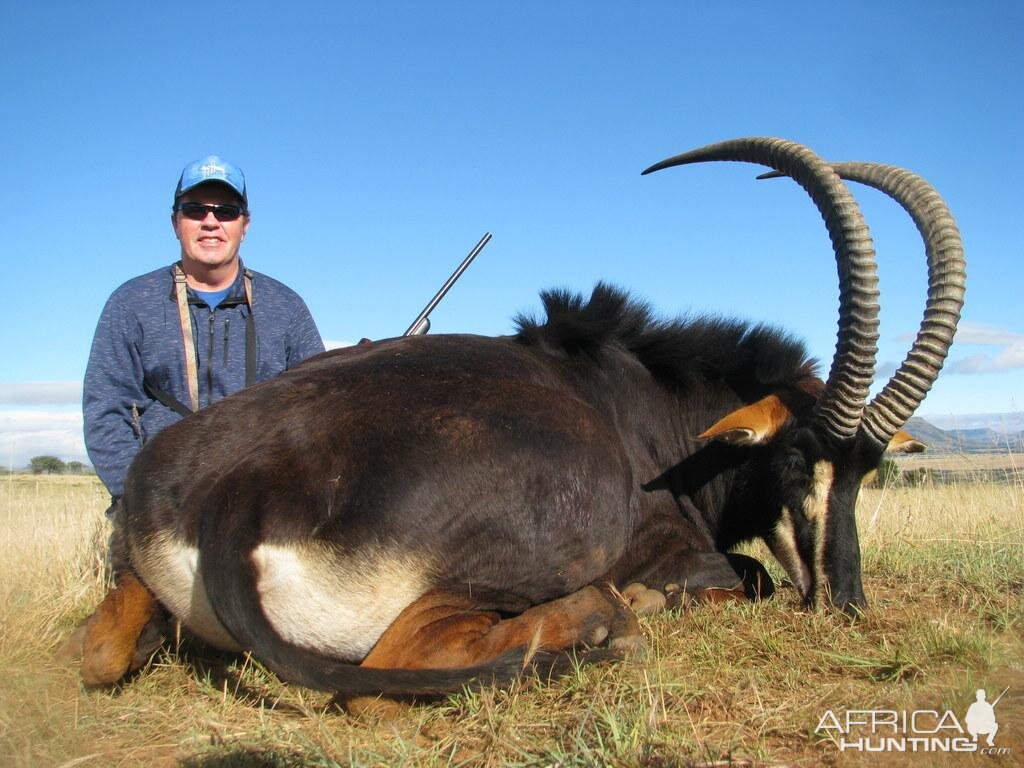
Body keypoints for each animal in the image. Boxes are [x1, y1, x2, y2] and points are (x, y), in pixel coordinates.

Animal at [77, 137, 958, 704]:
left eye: (866, 474)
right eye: (795, 463)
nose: (845, 604)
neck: (657, 410)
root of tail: (242, 492)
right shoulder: (671, 548)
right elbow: (750, 575)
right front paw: (659, 599)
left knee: (101, 653)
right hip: (560, 531)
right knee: (384, 679)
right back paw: (603, 620)